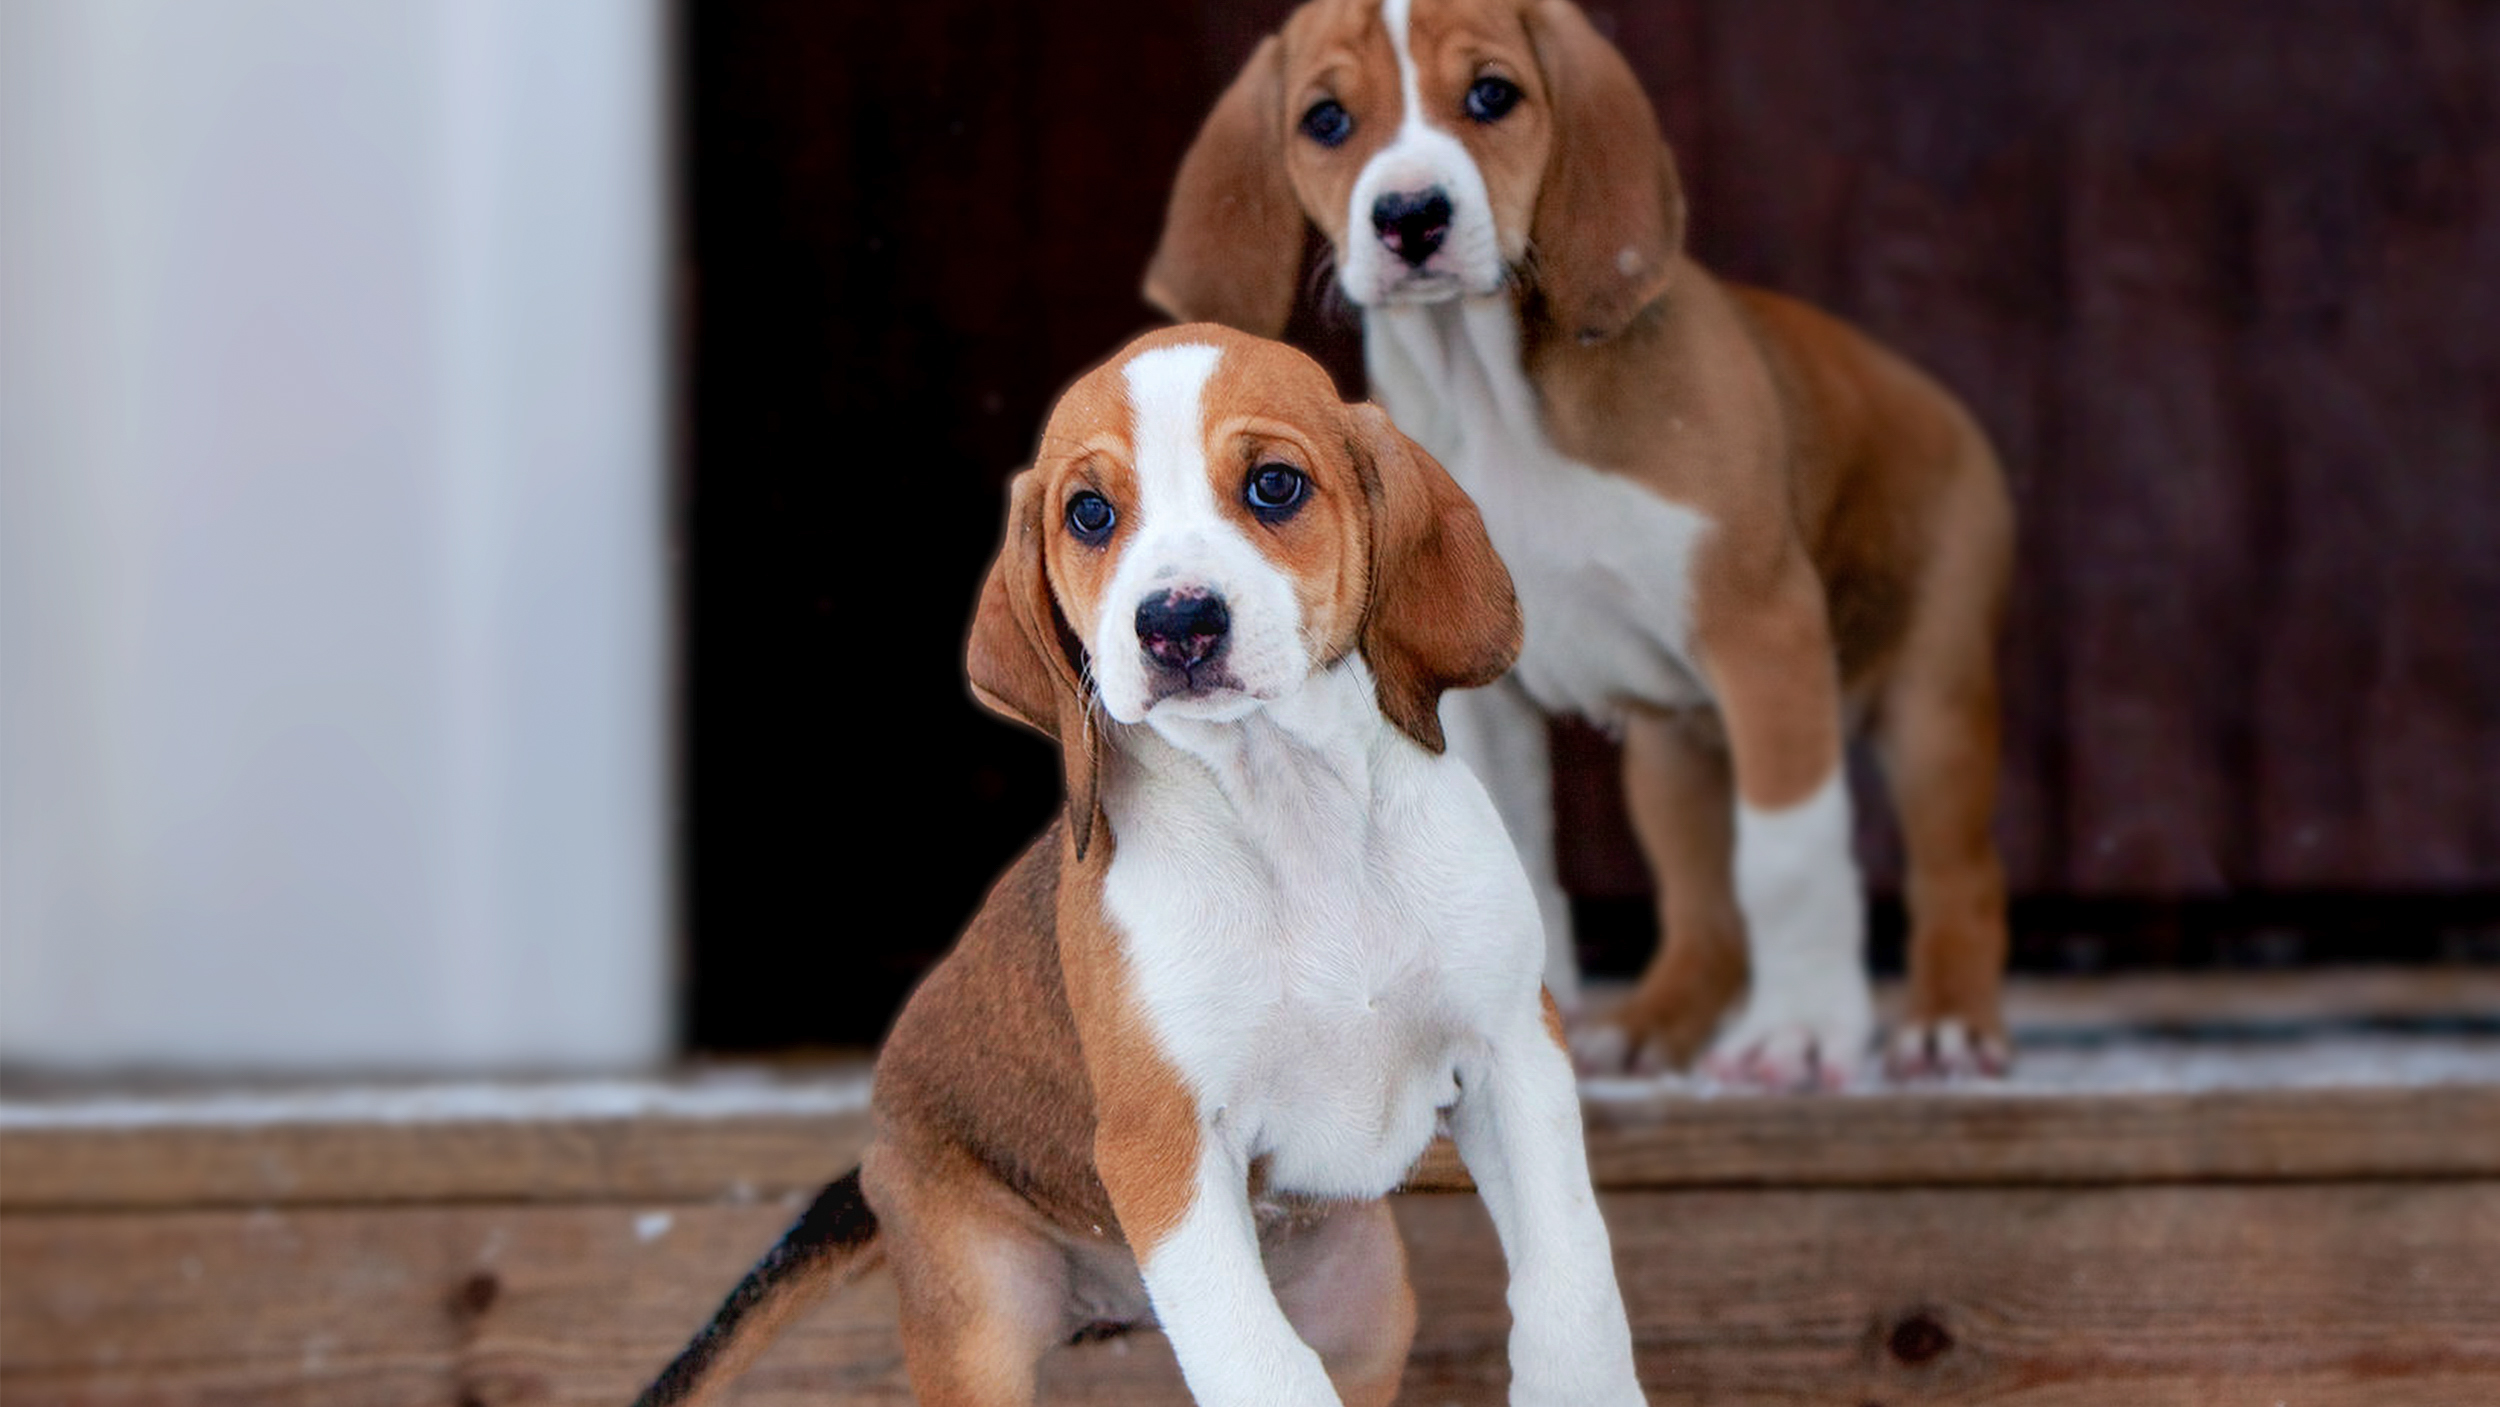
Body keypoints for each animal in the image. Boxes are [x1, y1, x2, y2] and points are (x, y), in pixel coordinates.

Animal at [635, 324, 1650, 1407]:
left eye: (1275, 486)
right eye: (1090, 513)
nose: (1176, 623)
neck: (1293, 817)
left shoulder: (1515, 1051)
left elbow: (1572, 1280)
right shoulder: (1164, 1145)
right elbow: (1260, 1364)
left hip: (1371, 1304)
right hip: (980, 1320)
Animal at [1145, 0, 2020, 1089]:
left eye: (1492, 95)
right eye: (1325, 120)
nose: (1410, 217)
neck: (1496, 402)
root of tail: (1937, 398)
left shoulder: (1764, 640)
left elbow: (1788, 862)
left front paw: (1804, 1029)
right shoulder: (1458, 690)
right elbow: (1511, 850)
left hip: (1930, 702)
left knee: (1960, 873)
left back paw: (1947, 1024)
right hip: (1675, 751)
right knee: (1702, 907)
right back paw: (1653, 1020)